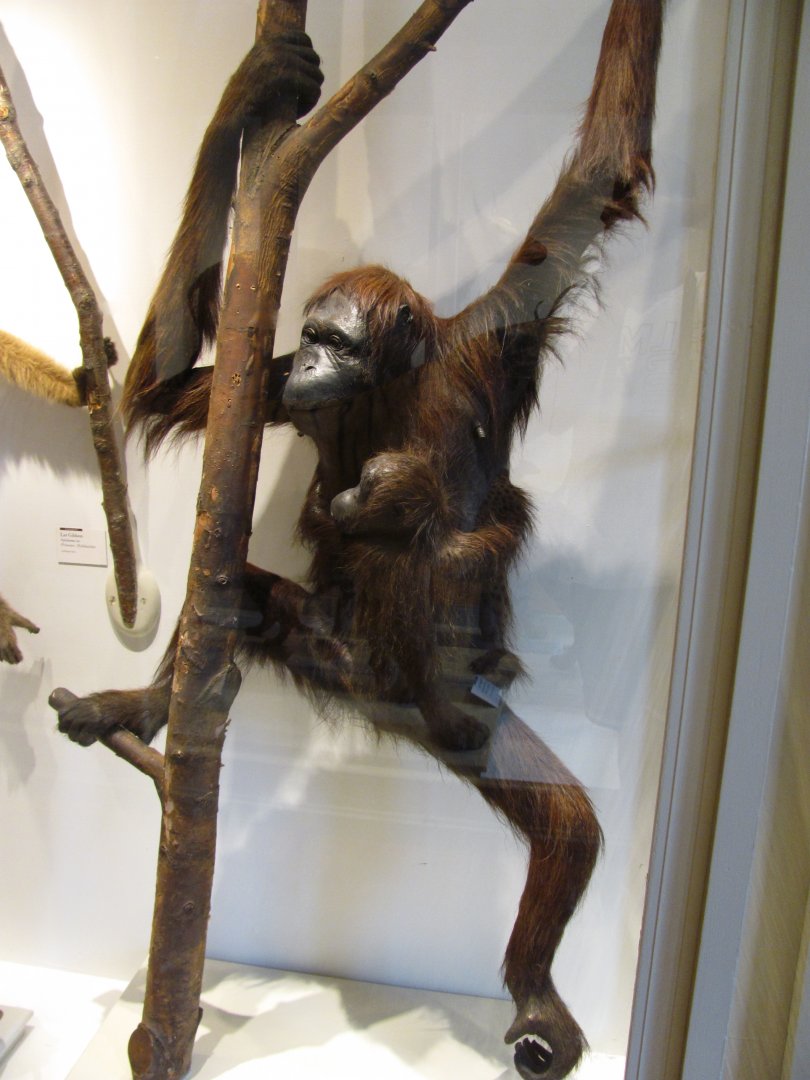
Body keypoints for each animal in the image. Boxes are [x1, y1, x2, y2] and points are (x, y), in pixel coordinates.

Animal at [50, 4, 665, 1077]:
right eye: (310, 337)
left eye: (339, 339)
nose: (313, 368)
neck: (389, 386)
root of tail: (384, 698)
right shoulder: (272, 379)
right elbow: (166, 387)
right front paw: (251, 92)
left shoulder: (497, 334)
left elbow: (598, 176)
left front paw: (394, 496)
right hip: (327, 647)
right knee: (231, 591)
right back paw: (145, 705)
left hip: (457, 719)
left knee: (564, 824)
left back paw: (535, 988)